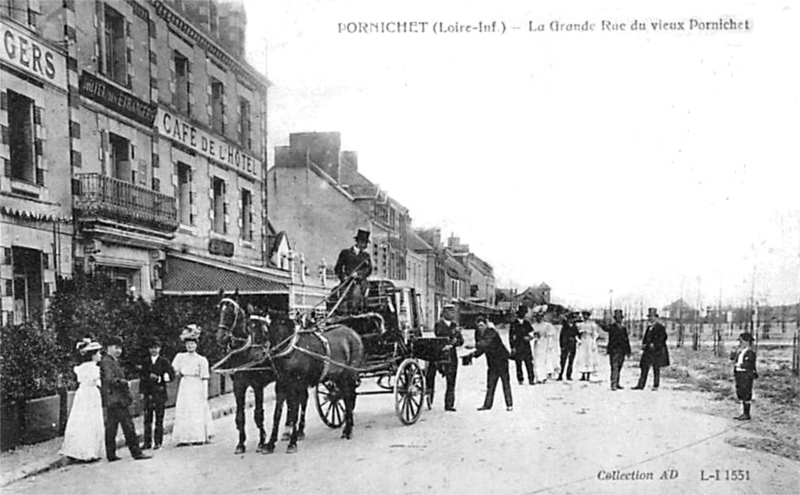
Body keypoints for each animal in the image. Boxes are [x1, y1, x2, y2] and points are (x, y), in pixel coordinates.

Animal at [262, 314, 366, 454]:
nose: (267, 353)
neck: (291, 350)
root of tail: (353, 333)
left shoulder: (297, 385)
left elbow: (294, 413)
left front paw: (292, 443)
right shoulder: (281, 386)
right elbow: (277, 415)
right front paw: (270, 444)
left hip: (348, 375)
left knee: (349, 399)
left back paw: (348, 430)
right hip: (339, 377)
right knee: (347, 398)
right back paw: (347, 428)